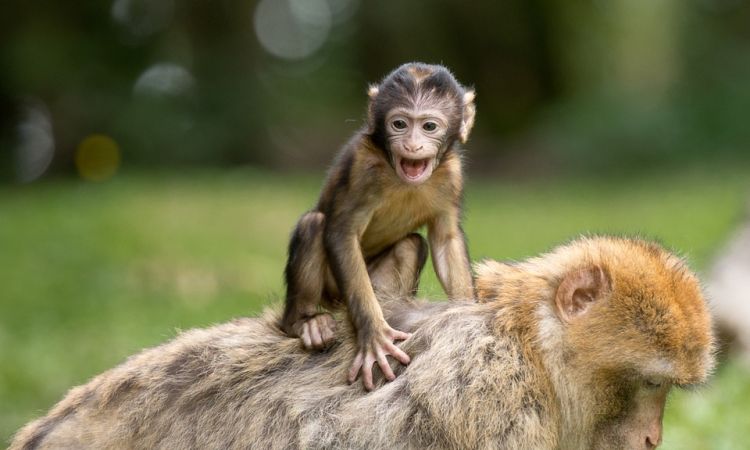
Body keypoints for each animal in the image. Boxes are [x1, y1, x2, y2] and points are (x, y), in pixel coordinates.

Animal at [282, 61, 476, 388]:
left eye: (429, 127)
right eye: (399, 124)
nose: (412, 145)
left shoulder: (453, 174)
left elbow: (445, 239)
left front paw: (466, 317)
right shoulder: (363, 168)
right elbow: (342, 233)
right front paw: (373, 336)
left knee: (411, 245)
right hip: (332, 291)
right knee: (314, 224)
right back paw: (304, 323)